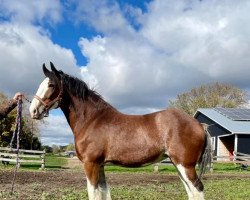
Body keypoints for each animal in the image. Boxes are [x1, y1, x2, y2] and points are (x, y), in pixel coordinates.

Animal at [29, 61, 213, 199]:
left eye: (51, 84)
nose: (33, 110)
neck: (93, 119)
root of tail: (199, 124)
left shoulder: (91, 164)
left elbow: (94, 194)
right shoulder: (100, 166)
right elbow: (104, 193)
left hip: (185, 165)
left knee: (197, 189)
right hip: (178, 164)